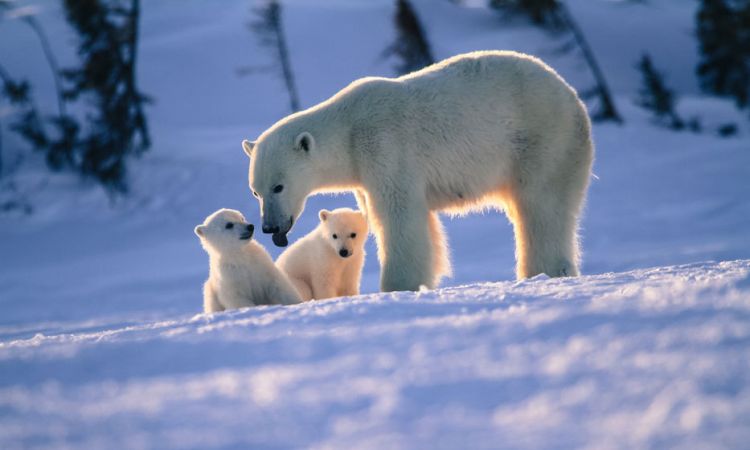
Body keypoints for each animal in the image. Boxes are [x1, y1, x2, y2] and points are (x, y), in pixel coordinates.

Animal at [244, 51, 596, 294]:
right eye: (255, 191)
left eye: (278, 186)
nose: (269, 227)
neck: (349, 131)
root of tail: (573, 97)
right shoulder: (363, 174)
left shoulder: (385, 147)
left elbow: (398, 216)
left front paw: (397, 286)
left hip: (542, 139)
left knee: (541, 207)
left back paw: (545, 271)